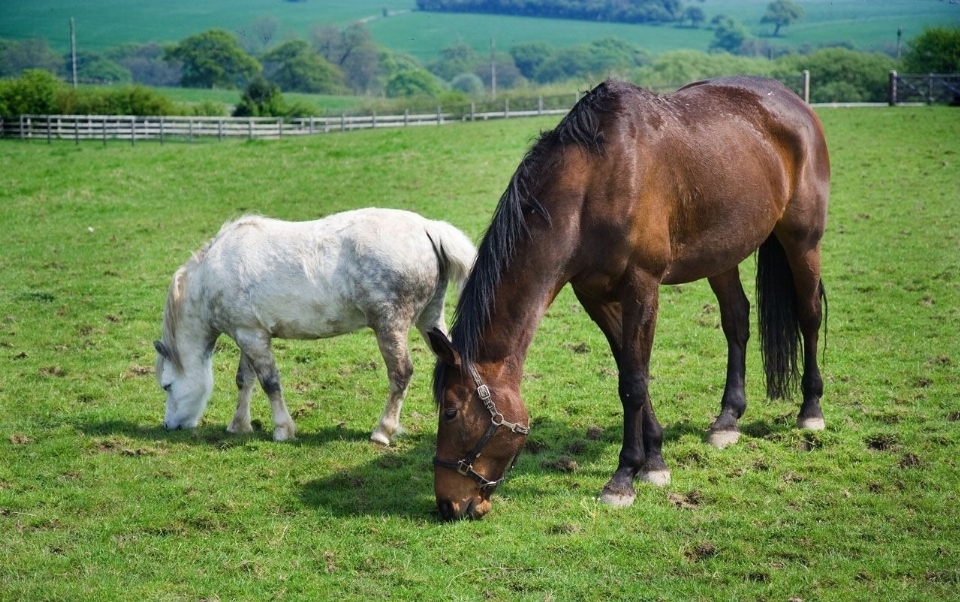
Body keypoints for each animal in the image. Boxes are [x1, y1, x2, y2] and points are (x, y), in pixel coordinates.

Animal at [153, 209, 476, 442]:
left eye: (167, 385)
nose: (170, 425)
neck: (213, 274)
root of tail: (427, 228)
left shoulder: (252, 338)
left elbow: (270, 383)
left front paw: (282, 430)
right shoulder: (249, 334)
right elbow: (245, 380)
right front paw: (239, 425)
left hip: (390, 326)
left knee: (401, 374)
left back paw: (383, 431)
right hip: (430, 319)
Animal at [432, 76, 828, 516]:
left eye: (450, 412)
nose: (448, 505)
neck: (594, 183)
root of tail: (792, 100)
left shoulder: (642, 285)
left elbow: (634, 382)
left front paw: (623, 477)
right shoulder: (595, 295)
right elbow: (629, 369)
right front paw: (653, 460)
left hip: (803, 241)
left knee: (809, 315)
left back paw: (811, 410)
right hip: (722, 255)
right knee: (736, 322)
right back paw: (727, 420)